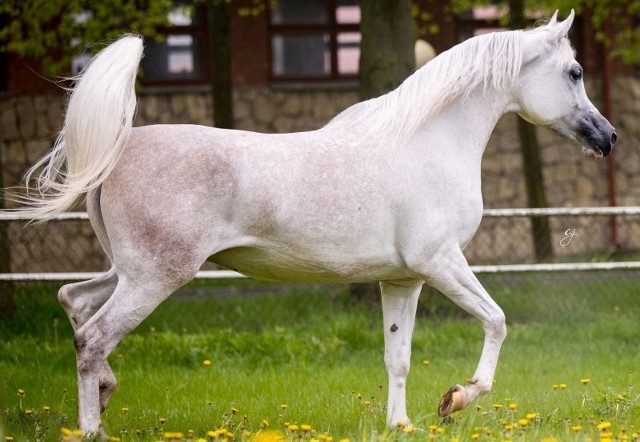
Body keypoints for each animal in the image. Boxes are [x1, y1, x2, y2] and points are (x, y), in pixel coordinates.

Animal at [15, 9, 616, 436]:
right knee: (92, 337)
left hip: (127, 272)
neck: (428, 142)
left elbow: (398, 357)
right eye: (575, 71)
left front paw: (401, 424)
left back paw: (105, 392)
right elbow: (497, 321)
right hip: (155, 277)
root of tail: (117, 152)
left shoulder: (403, 280)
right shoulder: (442, 263)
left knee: (73, 301)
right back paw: (92, 429)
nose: (607, 137)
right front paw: (457, 399)